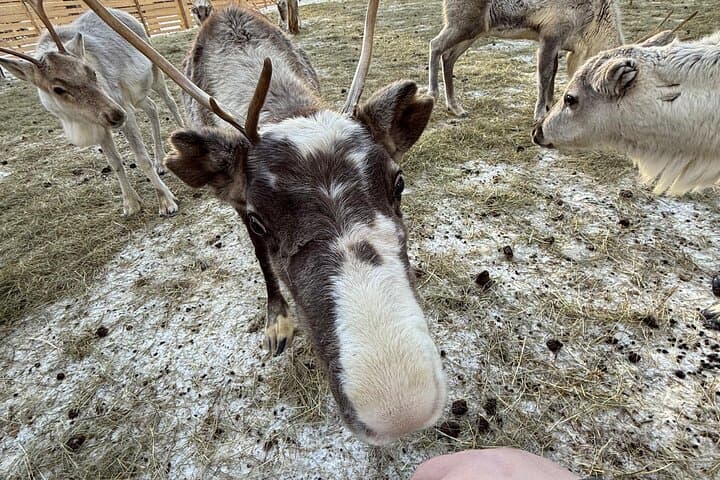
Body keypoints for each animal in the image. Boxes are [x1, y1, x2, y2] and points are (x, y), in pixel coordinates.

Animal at [0, 2, 183, 216]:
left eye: (91, 71)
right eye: (58, 89)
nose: (116, 115)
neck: (77, 121)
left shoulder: (122, 107)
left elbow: (141, 158)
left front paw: (166, 201)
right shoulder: (100, 123)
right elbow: (115, 163)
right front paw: (130, 204)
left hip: (153, 74)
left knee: (169, 100)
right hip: (136, 96)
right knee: (152, 107)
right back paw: (160, 160)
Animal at [81, 0, 446, 445]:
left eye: (399, 182)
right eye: (259, 222)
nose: (399, 409)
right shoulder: (238, 205)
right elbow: (262, 262)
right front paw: (278, 321)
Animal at [428, 0, 624, 120]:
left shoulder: (559, 43)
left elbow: (553, 72)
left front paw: (550, 104)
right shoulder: (551, 35)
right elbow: (544, 75)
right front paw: (539, 114)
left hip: (474, 31)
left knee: (448, 57)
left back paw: (455, 107)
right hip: (463, 25)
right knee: (435, 45)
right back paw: (433, 94)